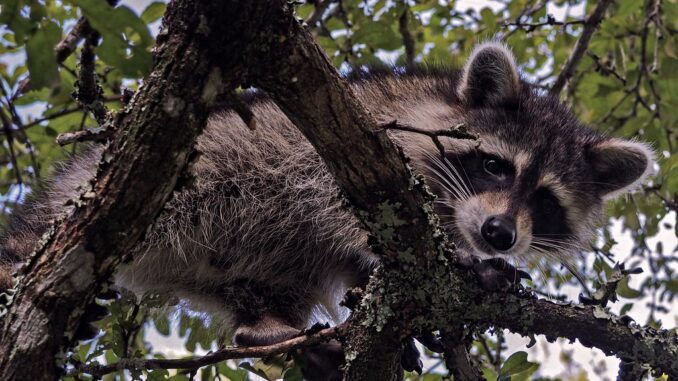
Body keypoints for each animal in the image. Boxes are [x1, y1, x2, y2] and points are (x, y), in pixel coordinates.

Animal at [0, 43, 660, 354]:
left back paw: (265, 326)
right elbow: (344, 211)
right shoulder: (372, 139)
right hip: (197, 173)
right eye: (495, 165)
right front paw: (465, 264)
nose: (498, 234)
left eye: (545, 199)